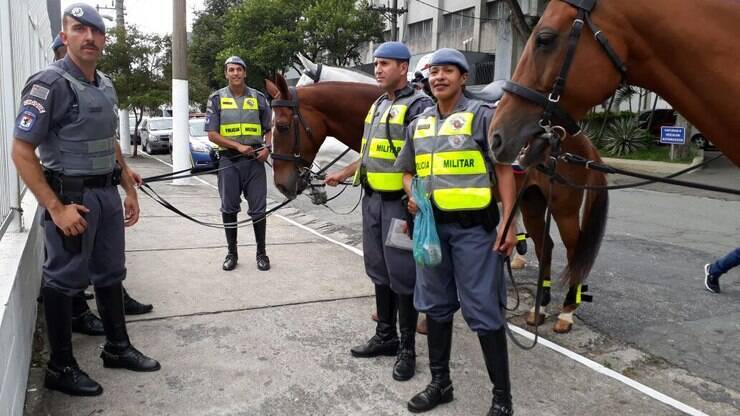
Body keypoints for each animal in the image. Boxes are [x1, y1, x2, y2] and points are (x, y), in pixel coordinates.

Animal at [266, 73, 608, 334]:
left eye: (281, 126)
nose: (282, 184)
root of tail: (578, 140)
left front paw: (421, 321)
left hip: (563, 207)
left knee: (573, 250)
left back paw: (566, 312)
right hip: (532, 202)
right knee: (545, 247)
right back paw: (540, 310)